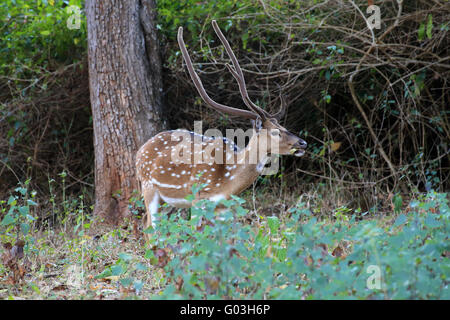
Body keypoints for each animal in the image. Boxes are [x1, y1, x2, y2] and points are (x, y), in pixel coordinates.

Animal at [136, 21, 306, 234]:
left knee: (145, 221)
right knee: (151, 226)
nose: (302, 143)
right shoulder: (198, 196)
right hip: (148, 186)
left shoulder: (223, 207)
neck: (228, 181)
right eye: (276, 132)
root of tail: (139, 152)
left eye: (284, 125)